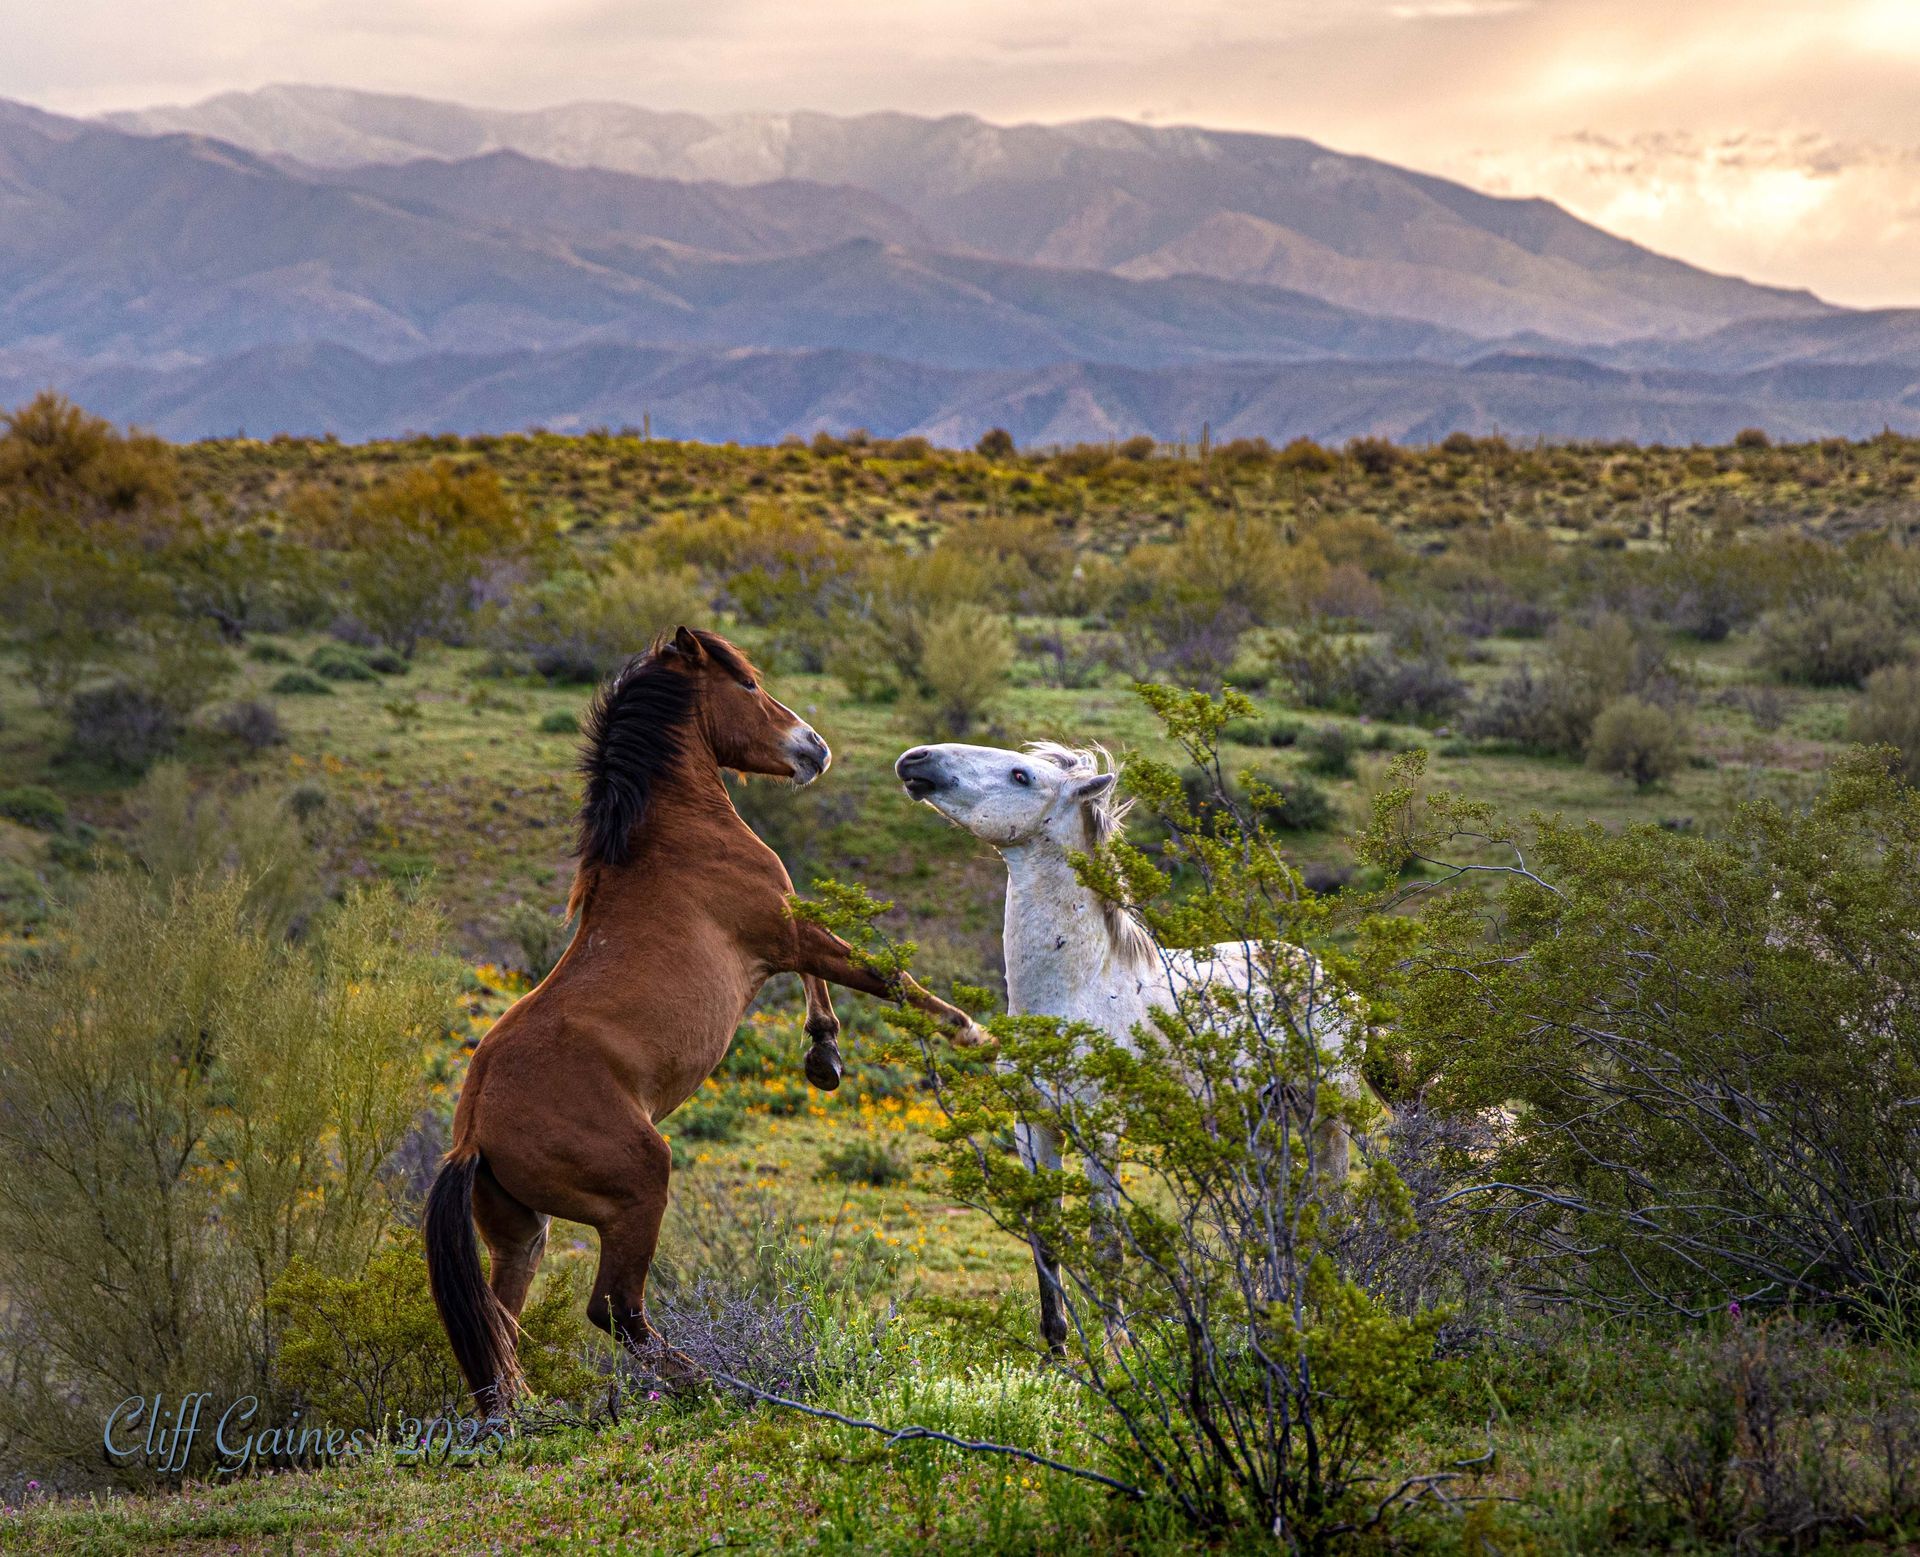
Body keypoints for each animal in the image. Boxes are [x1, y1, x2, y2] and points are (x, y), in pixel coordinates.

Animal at [425, 627, 986, 1409]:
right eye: (747, 684)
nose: (814, 748)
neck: (672, 836)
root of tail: (473, 1132)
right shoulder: (784, 931)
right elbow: (881, 974)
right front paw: (969, 1031)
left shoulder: (781, 936)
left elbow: (828, 980)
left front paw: (825, 1057)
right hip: (638, 1185)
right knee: (614, 1309)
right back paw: (717, 1382)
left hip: (521, 1235)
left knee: (502, 1324)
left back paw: (525, 1412)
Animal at [893, 738, 1366, 1352]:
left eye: (1021, 776)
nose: (915, 760)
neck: (1078, 991)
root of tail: (1337, 985)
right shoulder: (1033, 1128)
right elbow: (1045, 1242)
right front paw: (1057, 1349)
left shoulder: (1101, 1134)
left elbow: (1107, 1246)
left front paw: (1117, 1349)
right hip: (1264, 1124)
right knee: (1276, 1220)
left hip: (1326, 1121)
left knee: (1327, 1213)